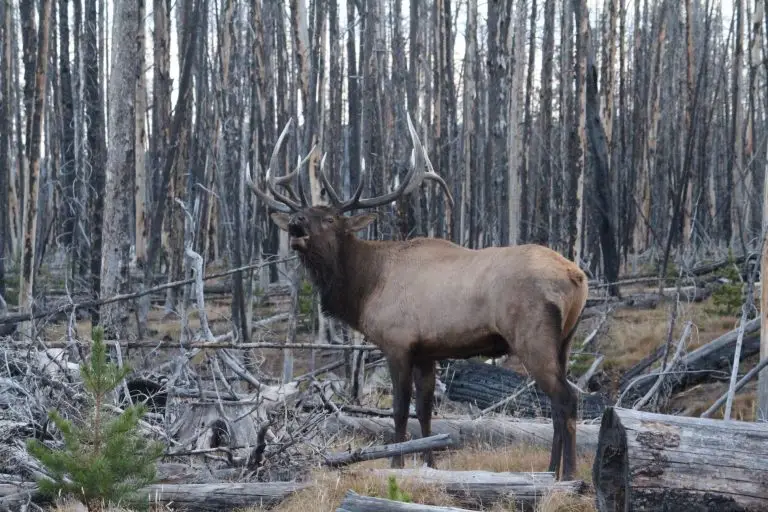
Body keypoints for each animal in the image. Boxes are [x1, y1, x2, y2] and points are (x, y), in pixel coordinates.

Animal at [247, 113, 589, 481]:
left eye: (329, 218)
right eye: (304, 214)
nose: (296, 224)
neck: (365, 286)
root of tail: (577, 276)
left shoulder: (397, 343)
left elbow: (399, 410)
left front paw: (395, 463)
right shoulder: (427, 351)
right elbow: (424, 411)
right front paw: (428, 462)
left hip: (531, 336)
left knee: (566, 398)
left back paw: (568, 473)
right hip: (565, 340)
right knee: (558, 401)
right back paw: (550, 470)